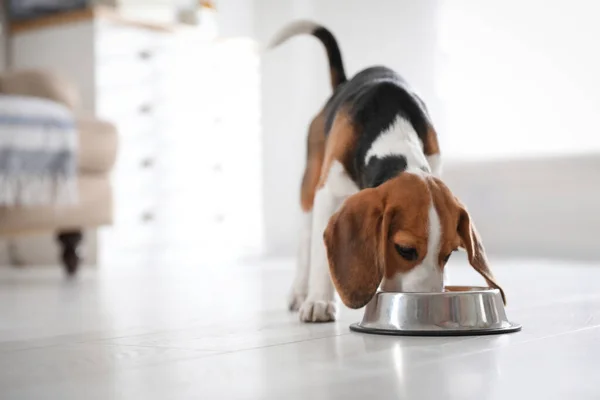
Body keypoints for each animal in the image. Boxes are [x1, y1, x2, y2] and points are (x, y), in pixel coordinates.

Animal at [270, 21, 504, 322]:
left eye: (450, 254)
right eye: (405, 250)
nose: (427, 305)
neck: (393, 130)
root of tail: (343, 83)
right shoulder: (328, 192)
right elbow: (320, 260)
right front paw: (319, 301)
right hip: (310, 187)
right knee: (305, 241)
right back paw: (301, 292)